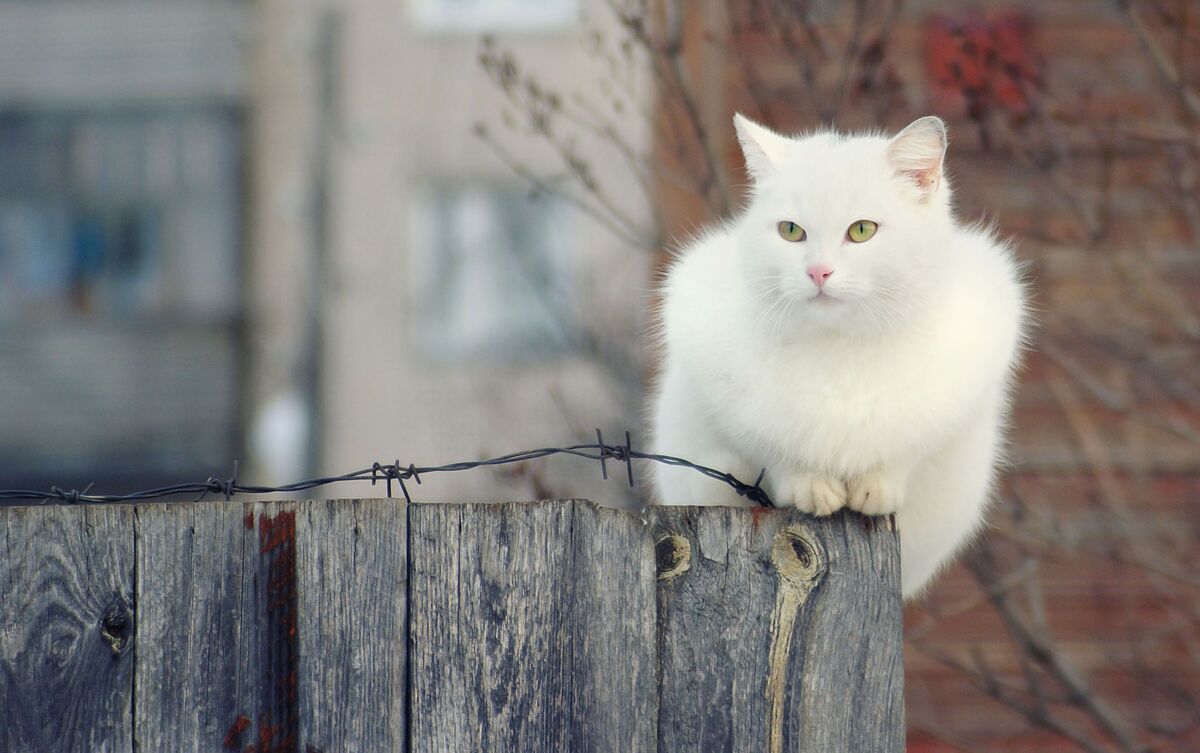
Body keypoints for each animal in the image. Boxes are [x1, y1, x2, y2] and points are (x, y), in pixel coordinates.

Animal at [652, 114, 1027, 597]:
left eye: (862, 230)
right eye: (791, 231)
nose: (818, 272)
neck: (840, 346)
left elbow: (902, 452)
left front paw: (876, 489)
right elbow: (778, 453)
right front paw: (811, 488)